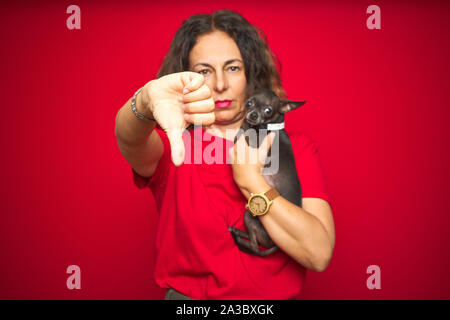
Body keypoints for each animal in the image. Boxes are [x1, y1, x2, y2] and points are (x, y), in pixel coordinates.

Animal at [229, 88, 306, 258]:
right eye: (249, 103)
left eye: (268, 110)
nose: (253, 115)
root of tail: (276, 244)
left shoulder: (251, 140)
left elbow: (242, 131)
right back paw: (236, 231)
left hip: (249, 217)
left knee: (255, 247)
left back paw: (239, 239)